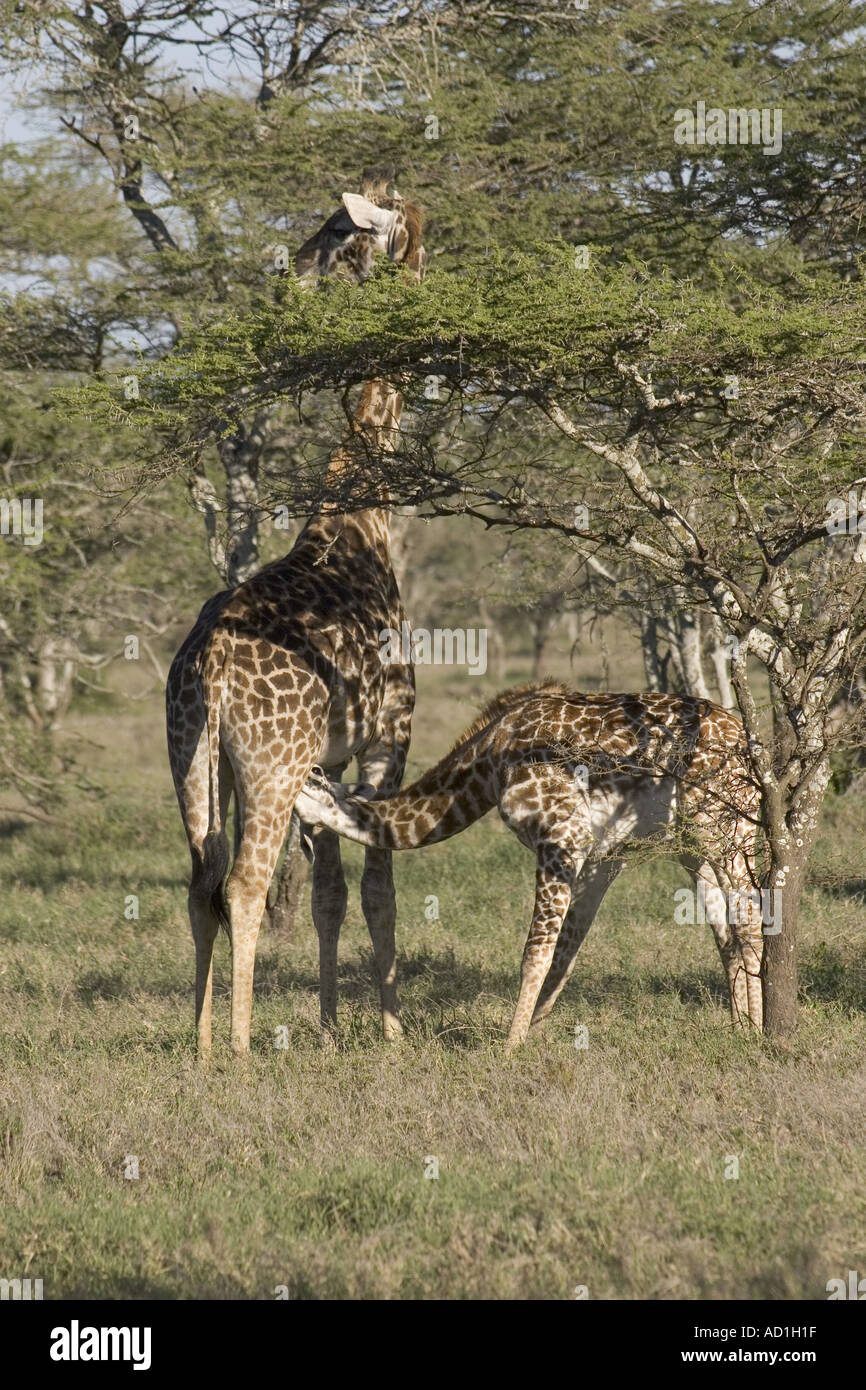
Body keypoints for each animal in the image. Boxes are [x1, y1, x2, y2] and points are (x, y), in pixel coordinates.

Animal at [166, 169, 426, 1055]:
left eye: (336, 231)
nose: (295, 273)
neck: (365, 516)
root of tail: (209, 667)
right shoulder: (387, 738)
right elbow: (379, 887)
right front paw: (388, 1031)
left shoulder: (330, 760)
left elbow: (330, 895)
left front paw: (331, 1027)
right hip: (271, 766)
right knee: (243, 885)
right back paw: (243, 1052)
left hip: (194, 756)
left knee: (199, 881)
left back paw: (202, 1044)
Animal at [295, 681, 766, 1049]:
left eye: (297, 797)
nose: (298, 840)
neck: (488, 762)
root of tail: (750, 745)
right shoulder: (605, 854)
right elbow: (567, 949)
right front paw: (533, 1034)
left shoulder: (562, 836)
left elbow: (536, 951)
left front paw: (510, 1047)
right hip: (695, 846)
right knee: (727, 933)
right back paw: (740, 1029)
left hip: (725, 827)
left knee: (751, 922)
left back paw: (759, 1036)